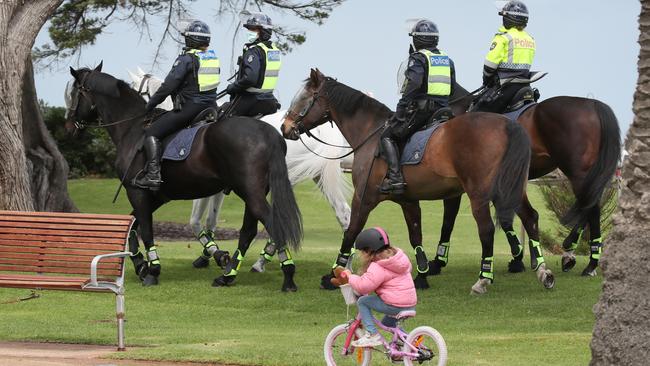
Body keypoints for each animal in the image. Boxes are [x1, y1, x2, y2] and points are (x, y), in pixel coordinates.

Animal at [64, 63, 302, 292]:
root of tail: (268, 131)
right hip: (253, 192)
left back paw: (287, 275)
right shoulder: (158, 197)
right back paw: (227, 276)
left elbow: (146, 230)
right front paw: (141, 265)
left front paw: (152, 270)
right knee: (248, 231)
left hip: (250, 192)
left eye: (73, 93)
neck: (132, 127)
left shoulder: (137, 192)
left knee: (271, 225)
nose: (69, 128)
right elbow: (133, 228)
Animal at [280, 69, 548, 294]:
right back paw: (543, 272)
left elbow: (351, 232)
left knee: (487, 230)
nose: (285, 127)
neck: (372, 134)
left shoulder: (364, 199)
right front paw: (421, 276)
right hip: (510, 189)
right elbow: (415, 236)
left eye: (303, 98)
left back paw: (484, 279)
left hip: (479, 194)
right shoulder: (408, 201)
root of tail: (506, 124)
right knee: (530, 217)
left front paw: (334, 274)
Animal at [426, 83, 616, 278]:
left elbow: (448, 222)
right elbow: (508, 220)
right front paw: (518, 257)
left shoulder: (456, 187)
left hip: (577, 173)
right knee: (589, 205)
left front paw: (438, 261)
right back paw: (571, 251)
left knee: (591, 209)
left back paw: (589, 263)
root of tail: (592, 104)